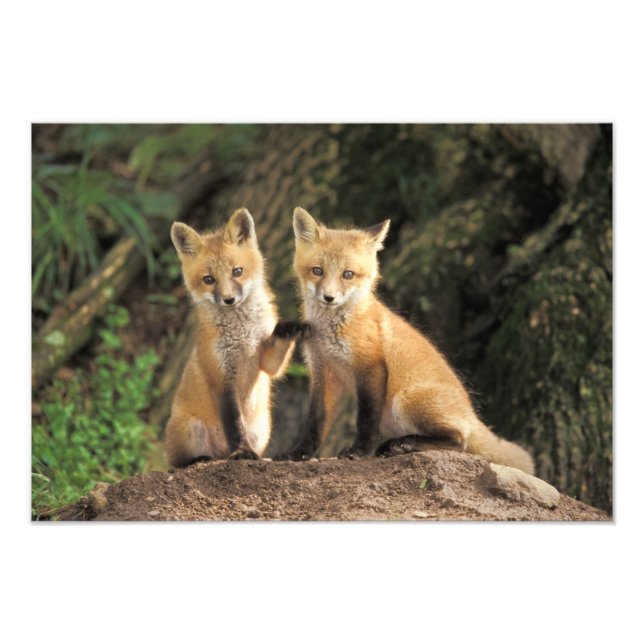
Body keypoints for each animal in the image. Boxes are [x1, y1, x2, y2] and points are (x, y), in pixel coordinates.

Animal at [165, 207, 307, 467]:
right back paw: (200, 459)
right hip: (190, 431)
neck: (242, 335)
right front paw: (242, 451)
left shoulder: (265, 361)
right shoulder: (221, 378)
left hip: (262, 430)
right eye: (209, 279)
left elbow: (275, 355)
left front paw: (290, 328)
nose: (229, 299)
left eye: (237, 272)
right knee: (178, 462)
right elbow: (234, 425)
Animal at [277, 206, 535, 475]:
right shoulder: (323, 372)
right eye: (317, 270)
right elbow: (315, 421)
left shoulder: (371, 366)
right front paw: (300, 454)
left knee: (460, 441)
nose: (329, 297)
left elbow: (366, 419)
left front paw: (360, 452)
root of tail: (472, 414)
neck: (331, 330)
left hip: (404, 399)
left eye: (348, 274)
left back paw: (406, 445)